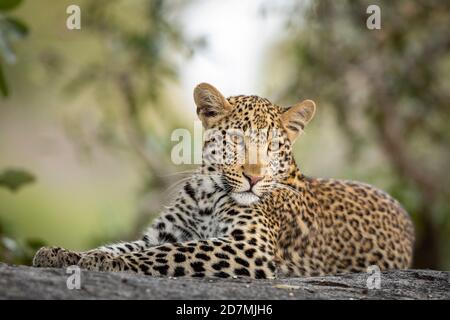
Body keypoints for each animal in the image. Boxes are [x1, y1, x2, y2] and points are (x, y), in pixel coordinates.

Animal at [33, 84, 414, 278]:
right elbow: (128, 246)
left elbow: (168, 255)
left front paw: (102, 264)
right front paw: (62, 254)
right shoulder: (161, 234)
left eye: (272, 145)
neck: (207, 194)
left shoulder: (249, 248)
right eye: (236, 140)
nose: (253, 177)